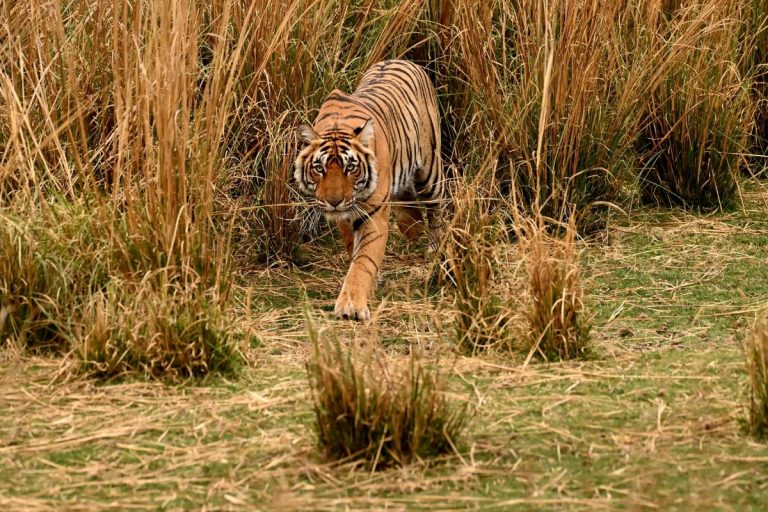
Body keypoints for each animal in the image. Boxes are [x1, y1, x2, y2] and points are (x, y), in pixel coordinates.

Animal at [294, 60, 445, 321]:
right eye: (319, 168)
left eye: (350, 168)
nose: (334, 202)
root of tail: (403, 60)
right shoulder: (345, 217)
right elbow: (354, 249)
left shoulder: (372, 214)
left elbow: (363, 261)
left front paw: (351, 306)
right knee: (409, 209)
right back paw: (413, 228)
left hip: (430, 172)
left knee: (437, 208)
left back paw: (434, 249)